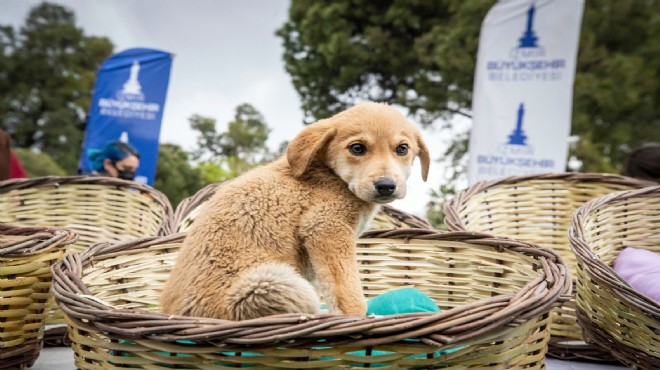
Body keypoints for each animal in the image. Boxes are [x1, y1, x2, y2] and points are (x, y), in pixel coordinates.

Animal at [159, 102, 428, 320]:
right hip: (274, 283)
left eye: (402, 149)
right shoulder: (326, 228)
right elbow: (347, 290)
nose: (386, 186)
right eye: (357, 148)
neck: (332, 176)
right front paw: (357, 319)